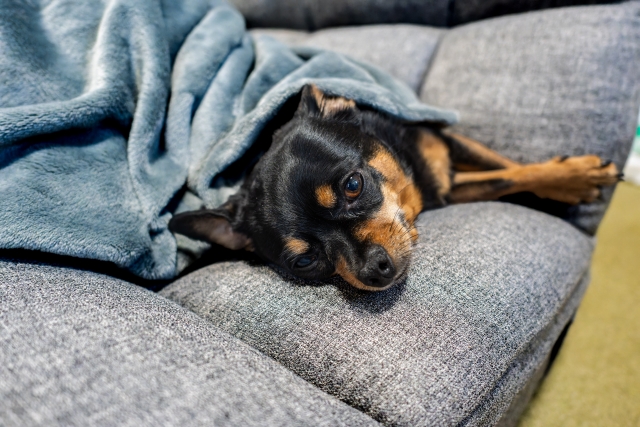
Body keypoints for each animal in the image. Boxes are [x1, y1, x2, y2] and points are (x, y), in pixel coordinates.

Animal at [170, 84, 621, 291]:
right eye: (305, 261)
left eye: (353, 185)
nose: (374, 269)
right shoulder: (448, 190)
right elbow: (503, 178)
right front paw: (573, 178)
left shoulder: (443, 143)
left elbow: (507, 166)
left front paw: (576, 174)